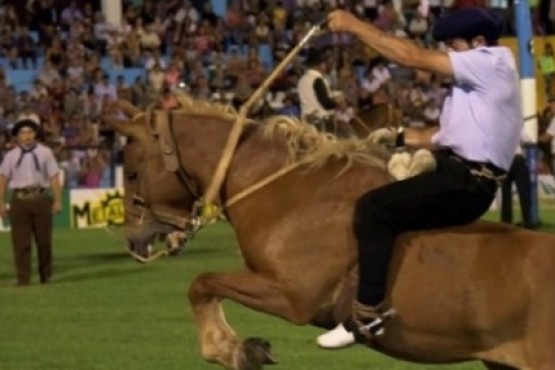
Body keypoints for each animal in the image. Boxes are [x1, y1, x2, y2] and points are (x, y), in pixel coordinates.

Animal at [105, 96, 555, 370]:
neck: (287, 191)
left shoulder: (293, 296)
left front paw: (230, 348)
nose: (133, 240)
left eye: (132, 171)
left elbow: (201, 283)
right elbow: (204, 285)